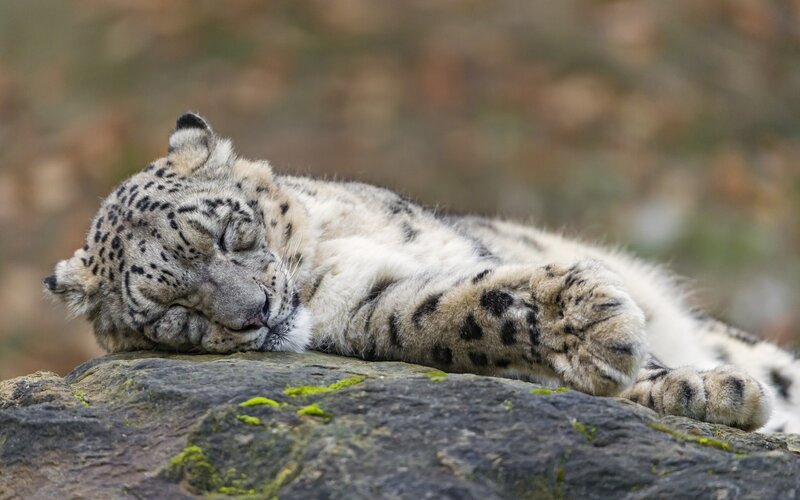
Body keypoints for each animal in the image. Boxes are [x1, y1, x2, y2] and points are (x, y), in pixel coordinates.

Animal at [44, 112, 800, 433]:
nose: (256, 311)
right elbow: (462, 311)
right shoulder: (377, 312)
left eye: (234, 231)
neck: (328, 254)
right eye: (175, 313)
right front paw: (611, 340)